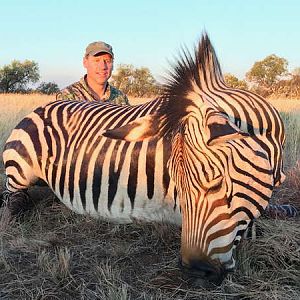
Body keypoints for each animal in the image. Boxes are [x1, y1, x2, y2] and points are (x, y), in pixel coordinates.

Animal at [0, 33, 290, 284]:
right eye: (178, 187)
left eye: (217, 183)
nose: (196, 271)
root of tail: (43, 106)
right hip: (20, 169)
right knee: (12, 196)